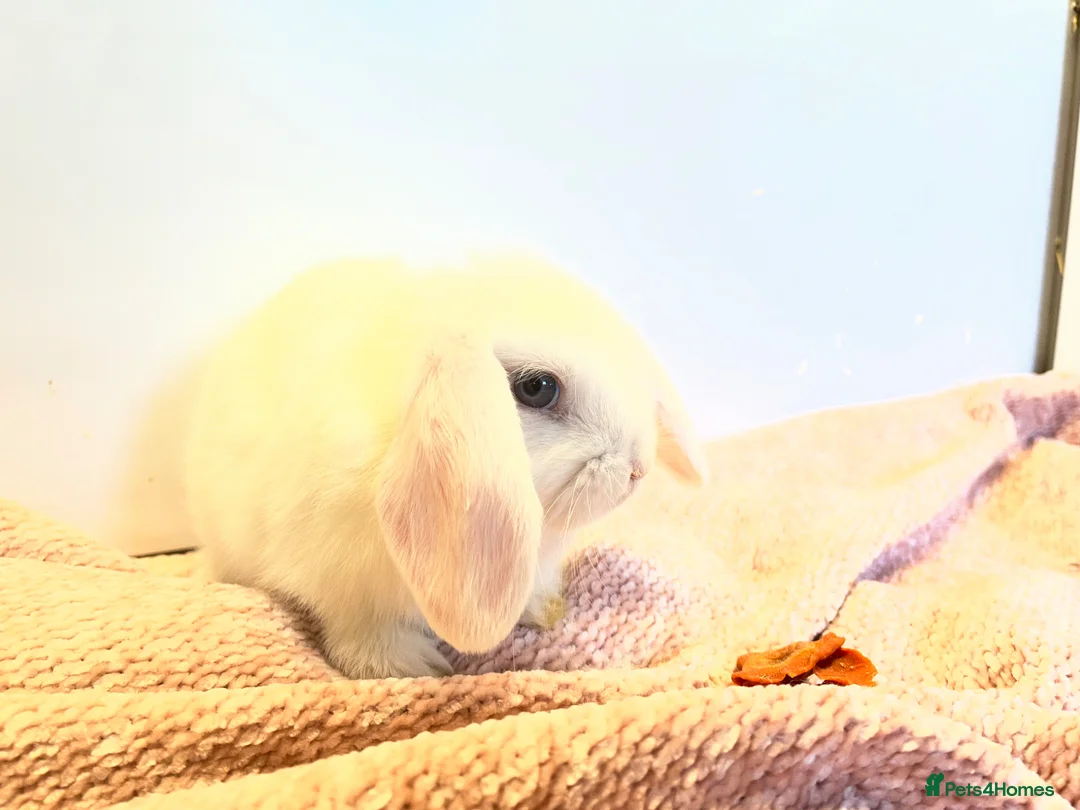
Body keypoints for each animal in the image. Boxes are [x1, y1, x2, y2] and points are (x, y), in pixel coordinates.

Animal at [183, 254, 709, 679]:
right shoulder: (343, 583)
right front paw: (410, 667)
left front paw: (545, 610)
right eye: (537, 388)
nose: (639, 468)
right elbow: (362, 633)